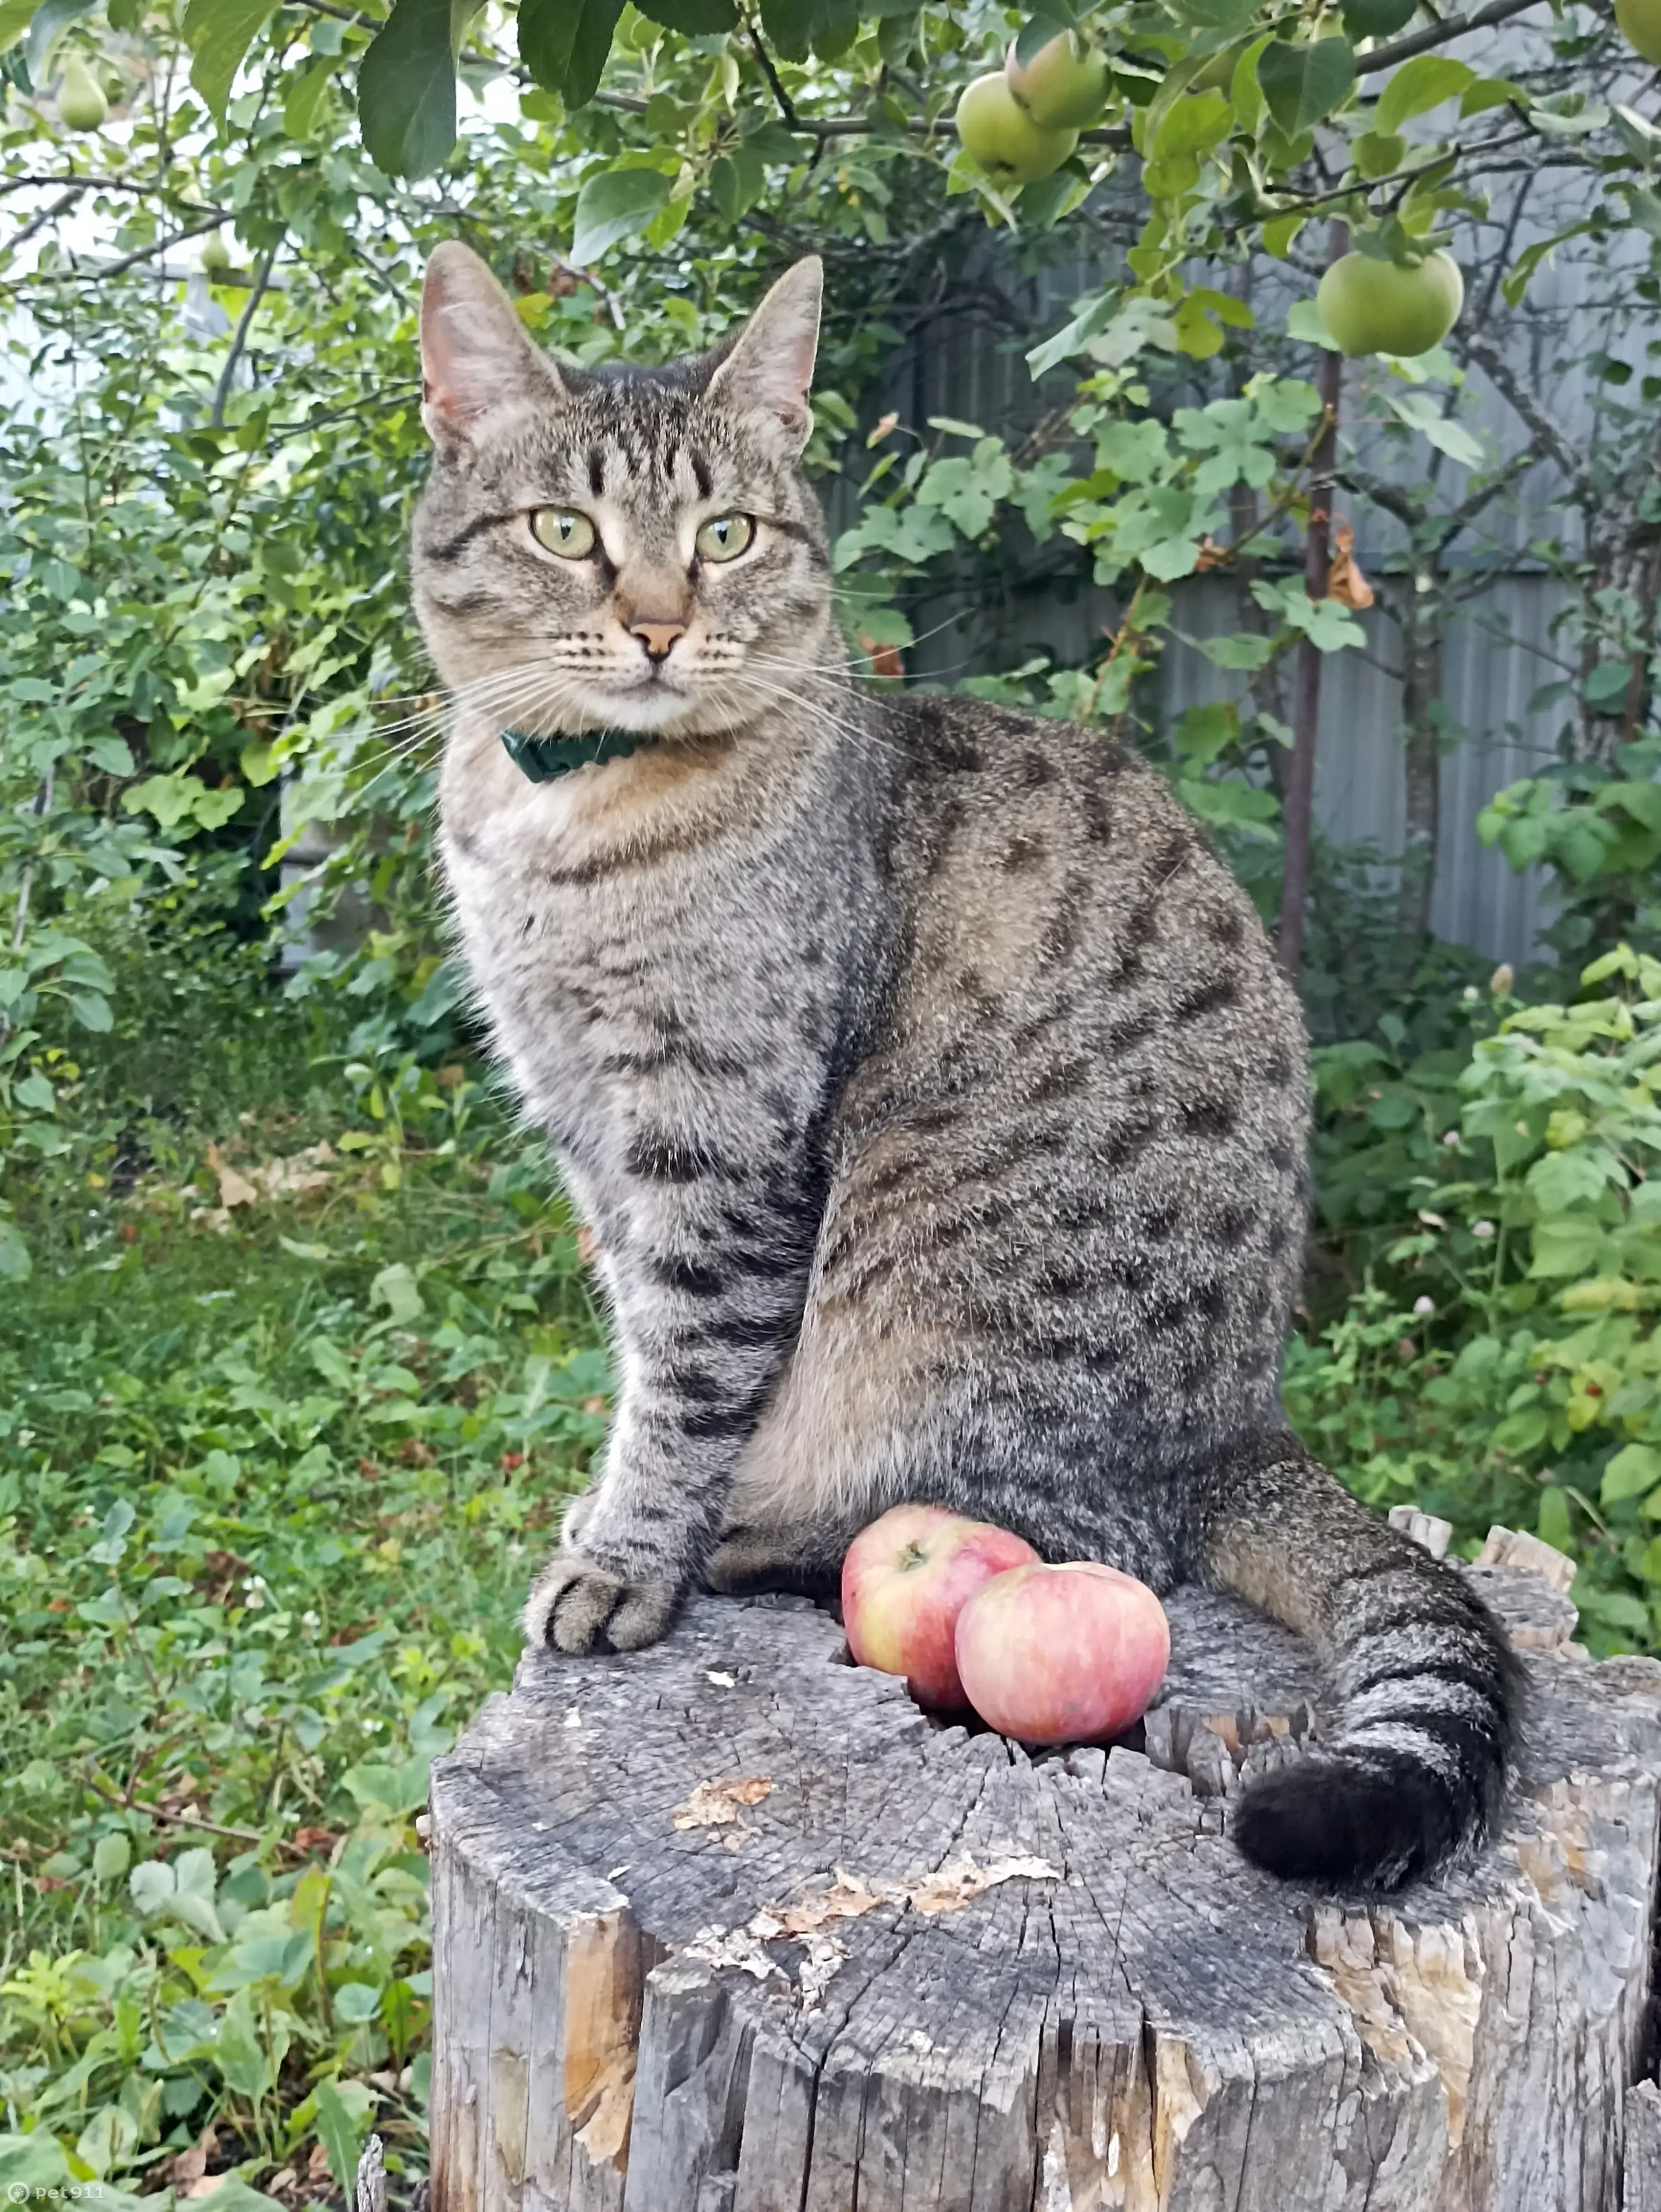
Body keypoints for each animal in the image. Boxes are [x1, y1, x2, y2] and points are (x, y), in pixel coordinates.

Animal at [413, 246, 1521, 1902]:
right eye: (566, 532)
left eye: (726, 536)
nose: (663, 626)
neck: (566, 818)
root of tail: (1239, 1426)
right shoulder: (588, 1132)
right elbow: (639, 1348)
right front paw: (615, 1506)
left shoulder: (714, 1140)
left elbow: (686, 1376)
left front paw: (630, 1555)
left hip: (943, 1300)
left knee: (1072, 1528)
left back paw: (762, 1535)